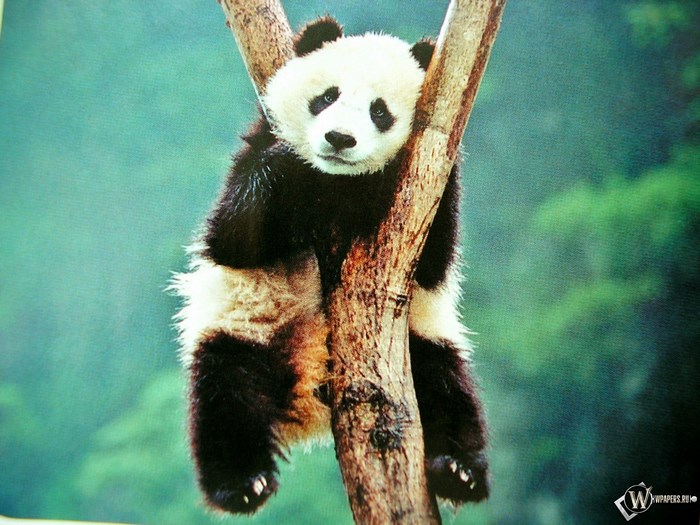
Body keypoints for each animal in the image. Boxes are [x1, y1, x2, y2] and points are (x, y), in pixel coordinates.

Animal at [172, 16, 489, 515]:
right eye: (326, 97)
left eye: (380, 111)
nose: (339, 139)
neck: (337, 184)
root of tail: (307, 397)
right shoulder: (259, 143)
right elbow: (234, 236)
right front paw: (286, 167)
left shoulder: (425, 186)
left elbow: (433, 262)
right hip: (244, 327)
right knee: (226, 396)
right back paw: (243, 483)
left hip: (420, 343)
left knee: (447, 389)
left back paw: (459, 471)